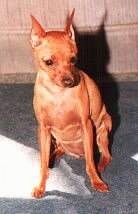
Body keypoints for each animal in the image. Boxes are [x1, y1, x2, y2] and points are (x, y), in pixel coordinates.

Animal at [30, 9, 112, 198]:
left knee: (104, 154)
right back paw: (54, 154)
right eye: (49, 62)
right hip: (51, 137)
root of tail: (76, 154)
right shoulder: (43, 129)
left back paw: (101, 165)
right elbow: (42, 165)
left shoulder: (86, 125)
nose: (69, 81)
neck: (58, 94)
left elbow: (90, 163)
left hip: (104, 126)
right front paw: (41, 186)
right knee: (55, 150)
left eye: (73, 59)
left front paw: (96, 181)